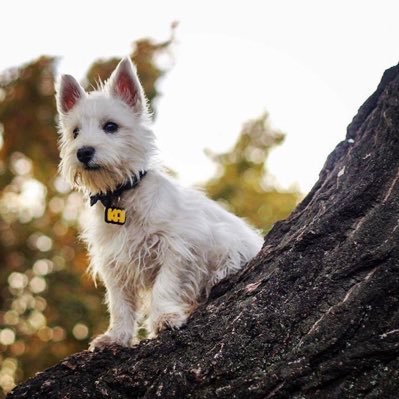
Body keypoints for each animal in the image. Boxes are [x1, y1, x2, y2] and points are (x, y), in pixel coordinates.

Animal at [54, 57, 264, 348]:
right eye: (75, 132)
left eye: (111, 126)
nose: (83, 152)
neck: (121, 196)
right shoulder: (115, 264)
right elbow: (119, 304)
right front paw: (115, 337)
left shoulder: (178, 247)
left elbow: (165, 286)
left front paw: (164, 318)